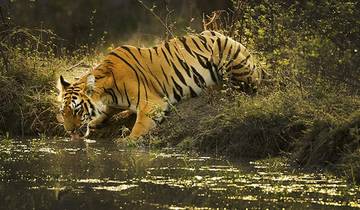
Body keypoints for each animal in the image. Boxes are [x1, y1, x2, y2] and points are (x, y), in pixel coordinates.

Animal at [57, 30, 264, 139]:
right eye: (63, 112)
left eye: (77, 110)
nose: (69, 131)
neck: (107, 90)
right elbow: (105, 112)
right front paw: (95, 121)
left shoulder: (151, 103)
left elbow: (139, 126)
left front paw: (127, 143)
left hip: (226, 51)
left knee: (246, 85)